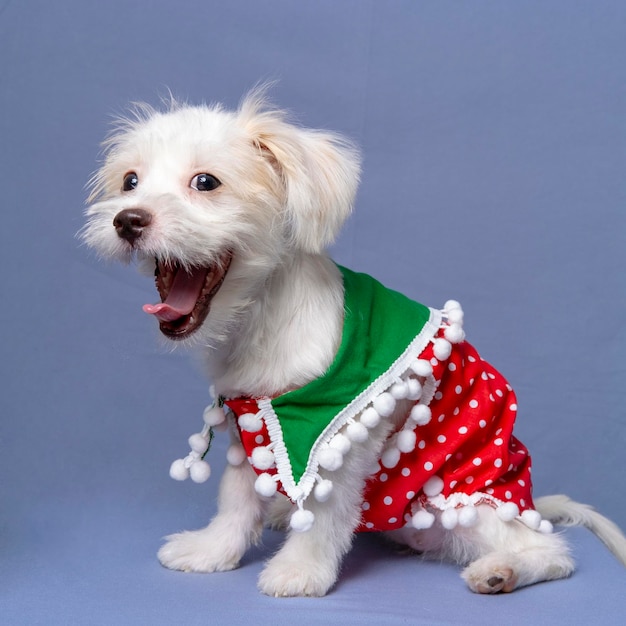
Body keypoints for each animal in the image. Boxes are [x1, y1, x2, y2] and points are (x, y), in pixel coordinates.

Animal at [81, 89, 624, 596]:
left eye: (206, 182)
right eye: (130, 181)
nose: (127, 220)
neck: (259, 322)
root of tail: (528, 500)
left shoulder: (337, 433)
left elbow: (322, 513)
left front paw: (300, 571)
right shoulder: (248, 417)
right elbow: (236, 497)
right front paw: (214, 550)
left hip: (470, 501)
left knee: (550, 551)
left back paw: (502, 570)